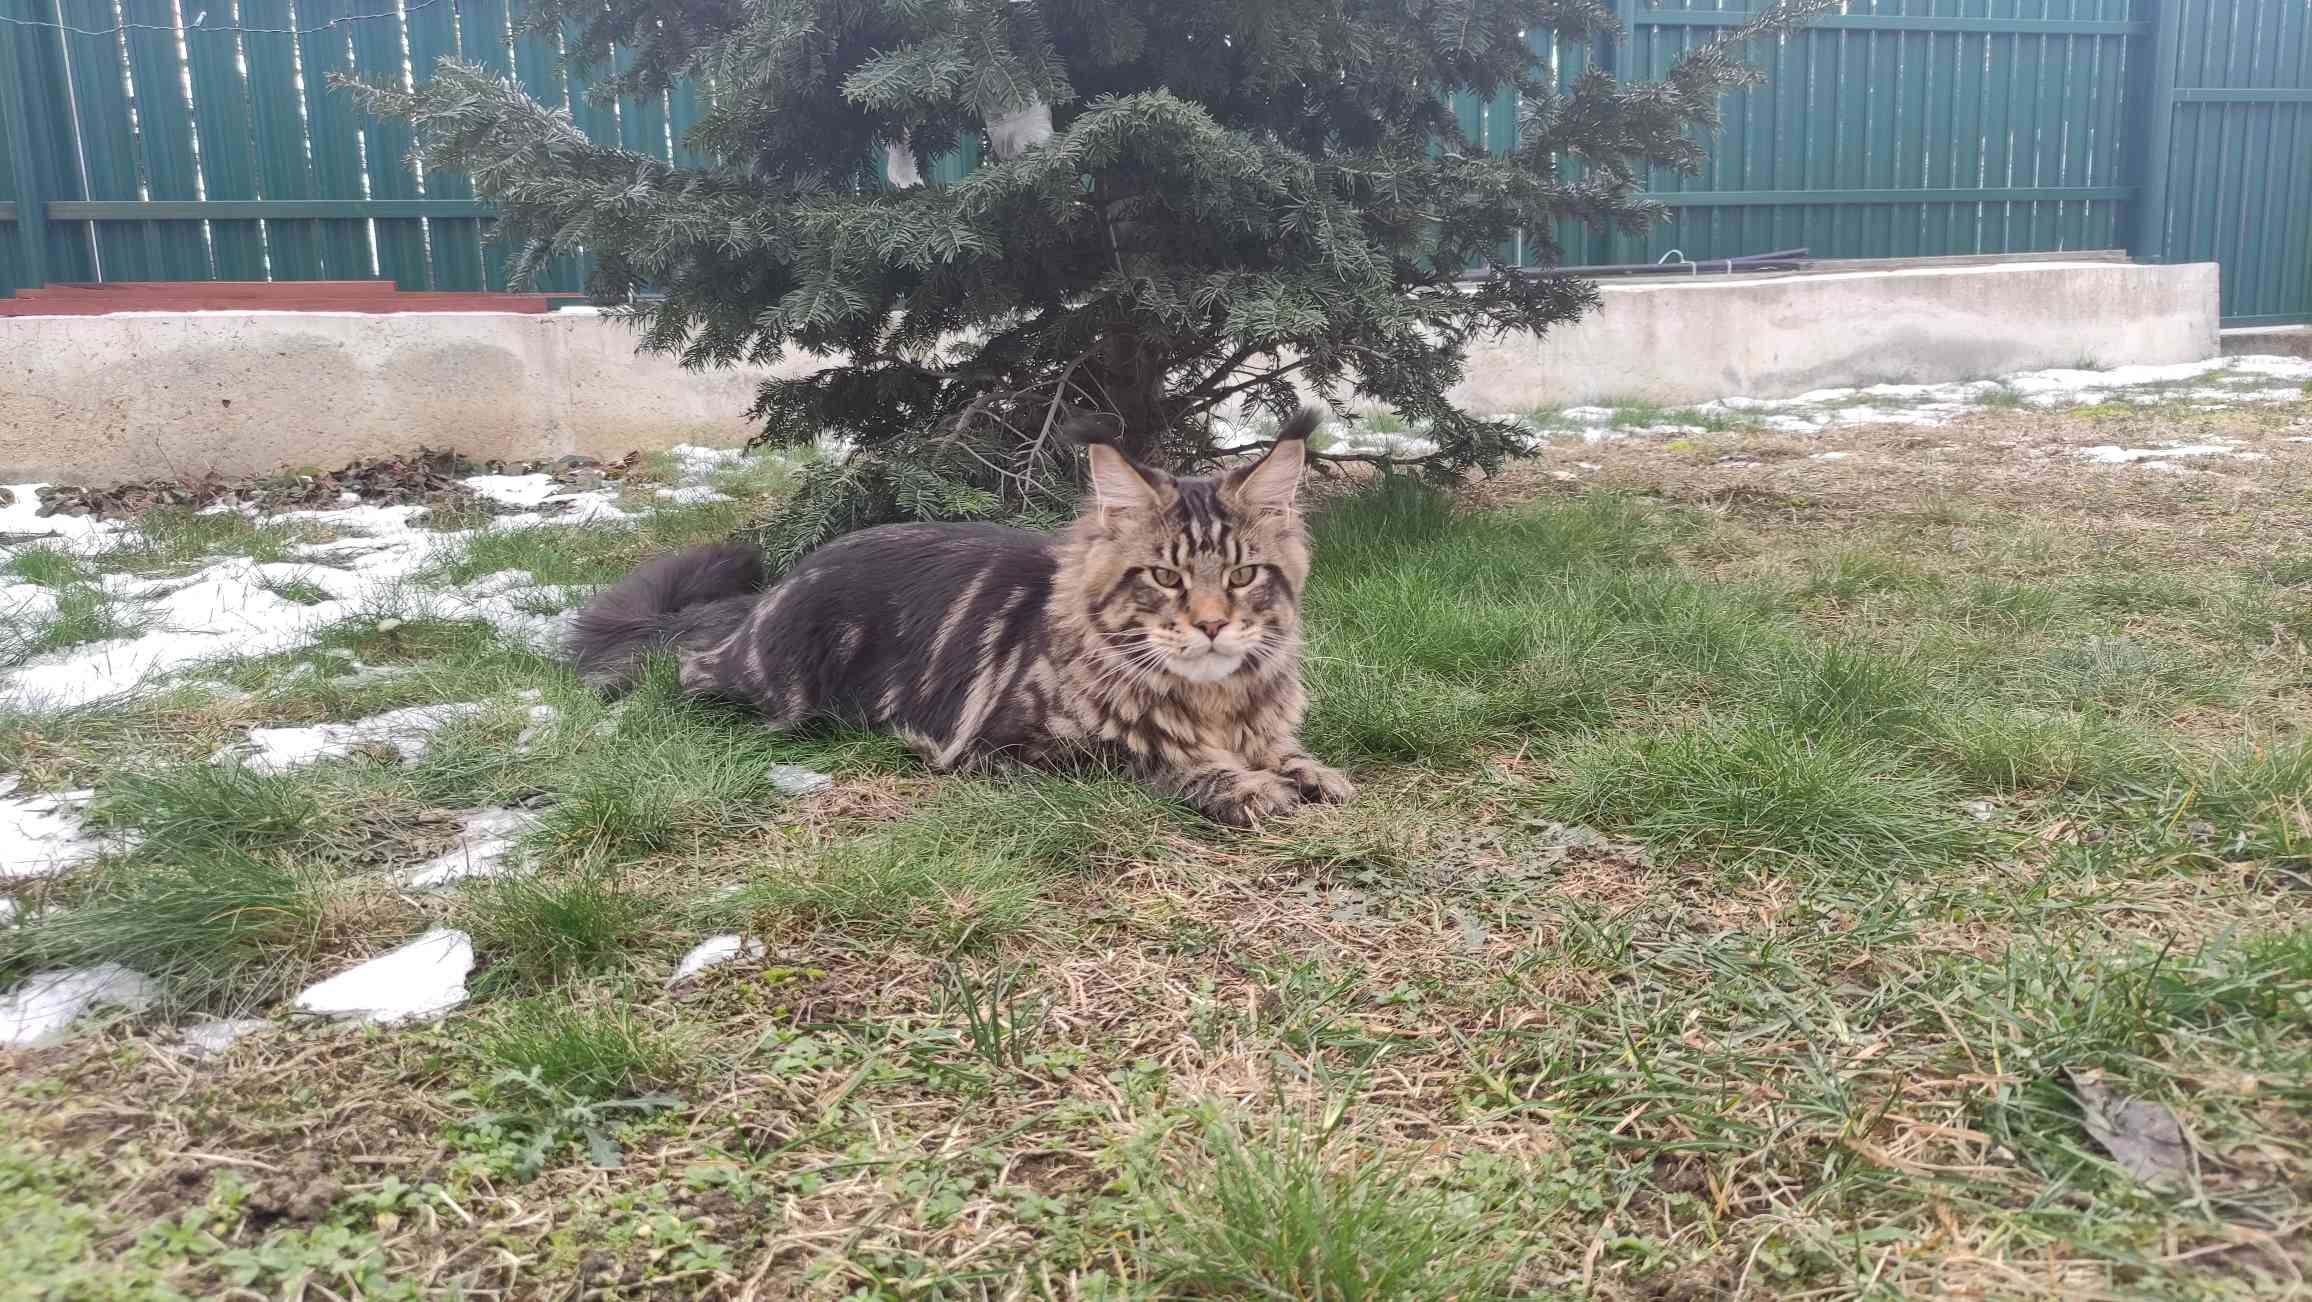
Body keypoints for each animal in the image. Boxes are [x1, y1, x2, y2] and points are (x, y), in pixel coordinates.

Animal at [566, 406, 1354, 826]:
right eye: (1165, 576)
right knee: (683, 678)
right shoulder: (1015, 750)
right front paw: (1247, 785)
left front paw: (1310, 773)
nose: (1213, 625)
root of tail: (772, 591)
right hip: (777, 692)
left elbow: (1289, 752)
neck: (1213, 702)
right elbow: (1151, 757)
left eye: (1243, 575)